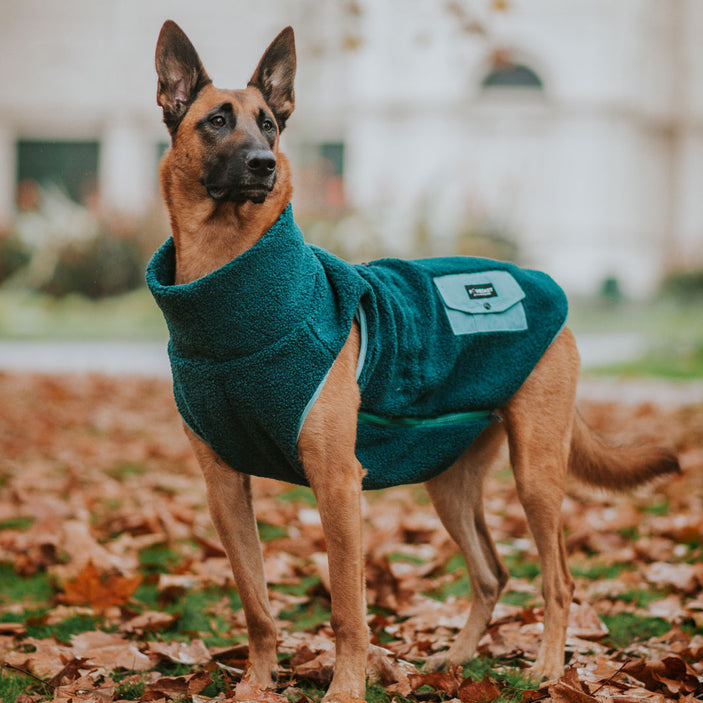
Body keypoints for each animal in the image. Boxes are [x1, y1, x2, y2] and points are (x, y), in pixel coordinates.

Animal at [150, 22, 680, 703]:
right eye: (216, 120)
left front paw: (345, 689)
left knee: (556, 578)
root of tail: (538, 281)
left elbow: (348, 610)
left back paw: (546, 668)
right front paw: (257, 684)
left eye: (269, 125)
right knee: (492, 574)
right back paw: (454, 658)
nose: (265, 164)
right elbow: (257, 604)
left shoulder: (337, 483)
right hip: (447, 482)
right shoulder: (224, 489)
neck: (231, 294)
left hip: (535, 474)